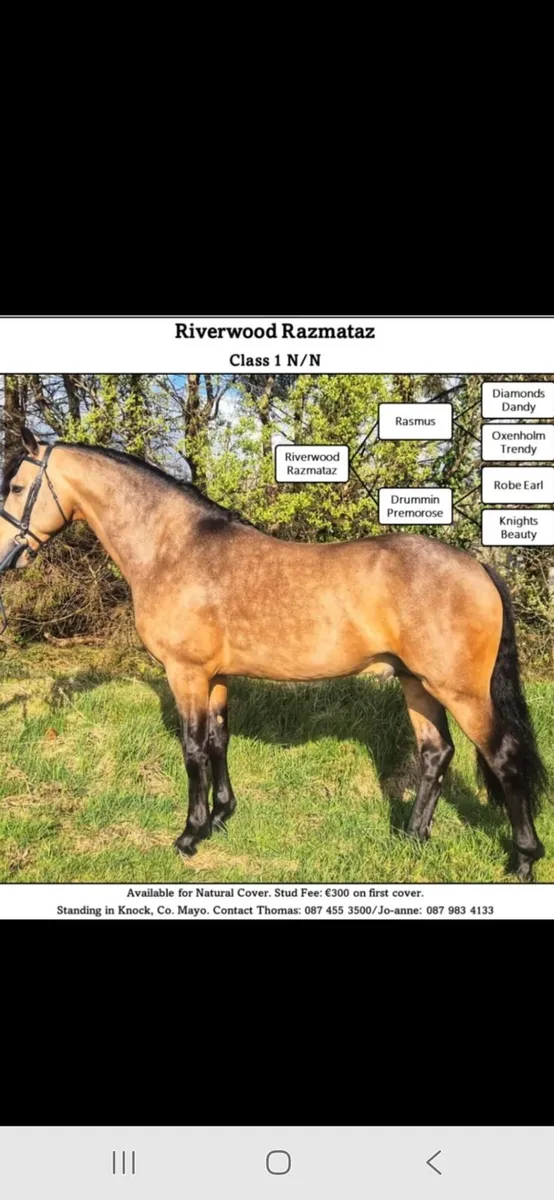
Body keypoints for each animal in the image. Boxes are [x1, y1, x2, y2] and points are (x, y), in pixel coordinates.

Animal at [0, 429, 548, 880]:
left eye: (15, 487)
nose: (7, 558)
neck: (175, 550)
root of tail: (477, 566)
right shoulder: (216, 677)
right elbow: (218, 741)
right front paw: (221, 815)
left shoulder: (186, 674)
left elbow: (193, 750)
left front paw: (190, 834)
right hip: (416, 683)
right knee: (436, 754)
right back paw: (412, 837)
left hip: (460, 690)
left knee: (503, 757)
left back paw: (523, 859)